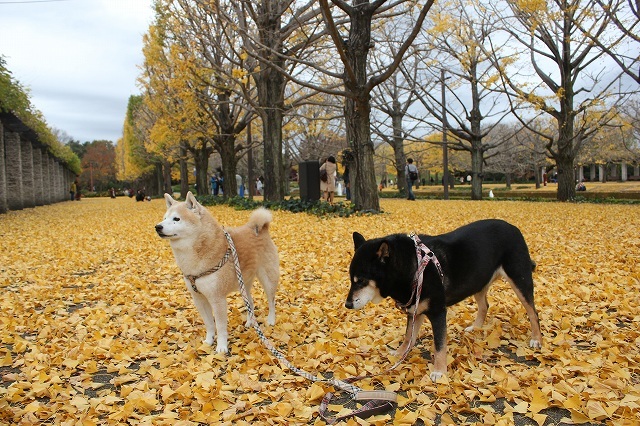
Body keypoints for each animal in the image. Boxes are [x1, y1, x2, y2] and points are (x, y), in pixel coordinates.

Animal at [156, 191, 278, 352]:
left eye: (176, 219)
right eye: (164, 218)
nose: (158, 227)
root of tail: (260, 228)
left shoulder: (217, 298)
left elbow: (220, 326)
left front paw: (221, 347)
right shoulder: (199, 298)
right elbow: (209, 323)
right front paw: (208, 341)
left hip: (267, 279)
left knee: (271, 301)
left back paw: (270, 320)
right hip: (243, 283)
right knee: (250, 303)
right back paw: (250, 322)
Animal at [348, 220, 544, 380]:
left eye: (362, 281)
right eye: (351, 279)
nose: (347, 304)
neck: (415, 267)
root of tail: (513, 227)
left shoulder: (438, 312)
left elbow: (439, 344)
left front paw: (439, 371)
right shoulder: (415, 310)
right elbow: (408, 336)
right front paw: (400, 353)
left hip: (519, 279)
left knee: (533, 312)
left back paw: (536, 339)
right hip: (478, 282)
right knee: (485, 305)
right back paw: (476, 327)